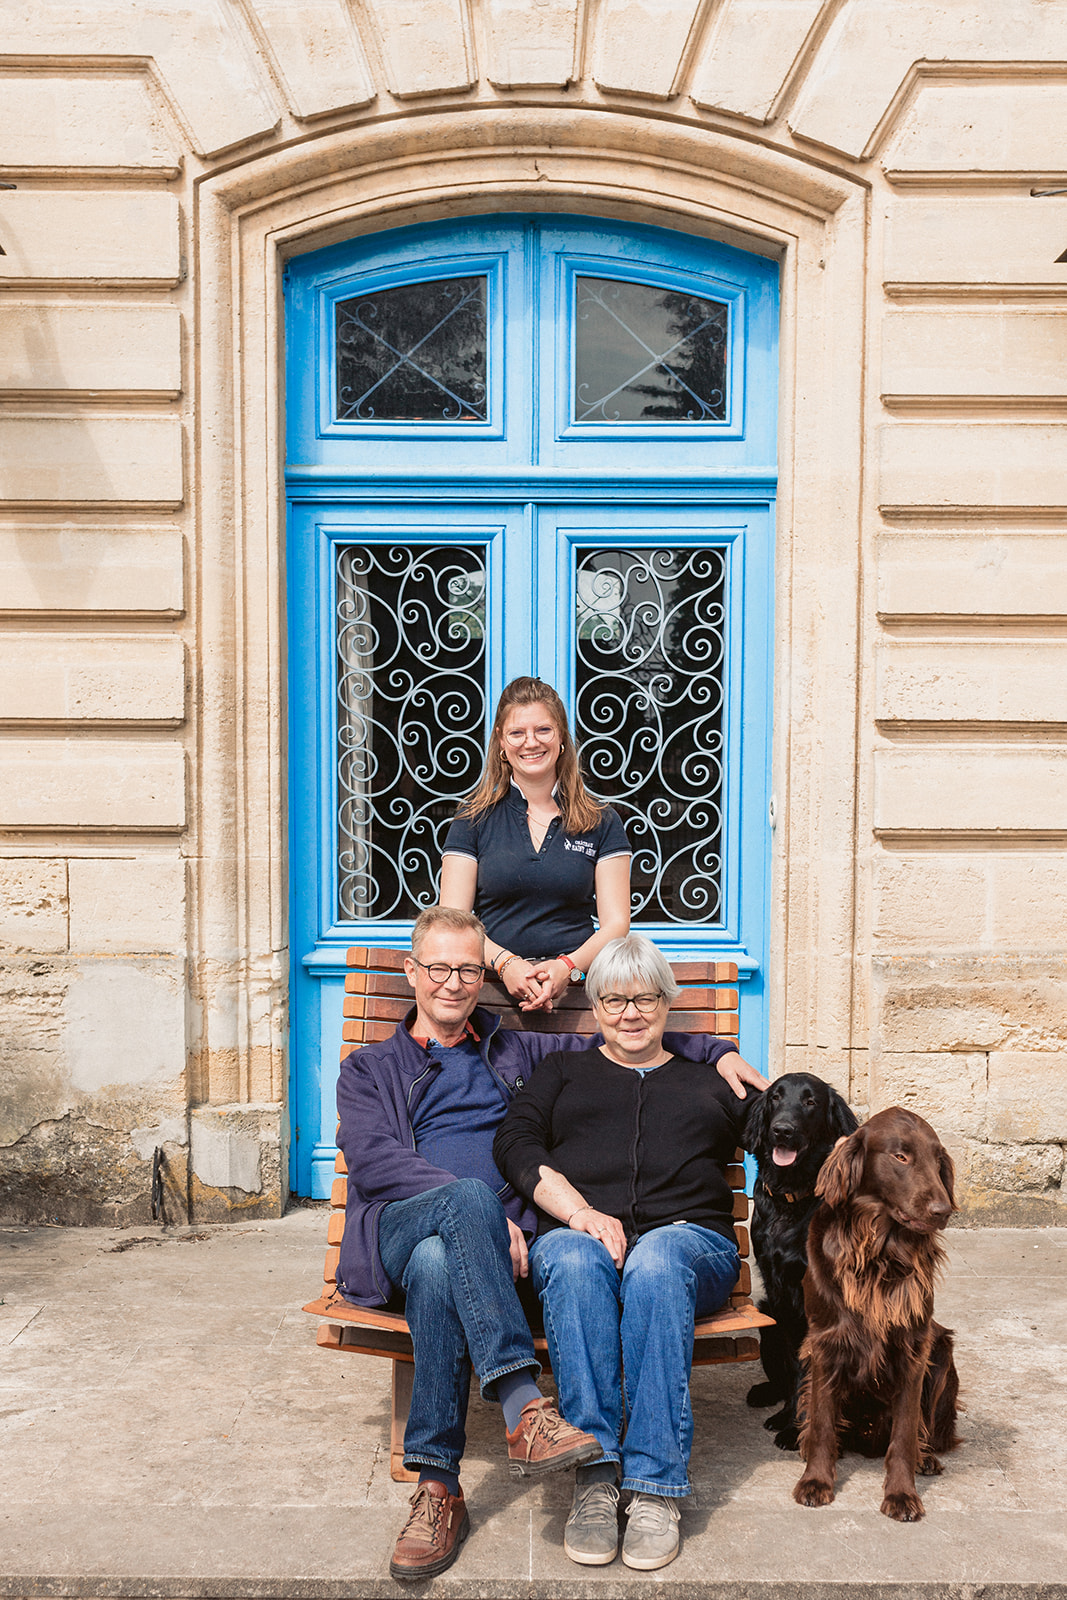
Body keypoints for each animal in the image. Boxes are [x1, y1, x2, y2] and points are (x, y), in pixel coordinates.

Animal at [744, 1072, 858, 1448]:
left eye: (810, 1102)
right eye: (775, 1098)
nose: (782, 1130)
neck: (792, 1198)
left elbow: (810, 1370)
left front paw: (797, 1429)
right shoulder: (779, 1294)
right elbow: (797, 1366)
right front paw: (789, 1418)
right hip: (766, 1314)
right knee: (780, 1378)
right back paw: (766, 1394)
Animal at [793, 1107, 960, 1522]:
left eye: (938, 1161)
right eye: (900, 1157)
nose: (943, 1211)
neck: (880, 1253)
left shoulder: (914, 1349)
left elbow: (904, 1433)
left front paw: (902, 1494)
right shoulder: (825, 1342)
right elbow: (822, 1421)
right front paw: (816, 1481)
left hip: (942, 1351)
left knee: (923, 1429)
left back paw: (926, 1457)